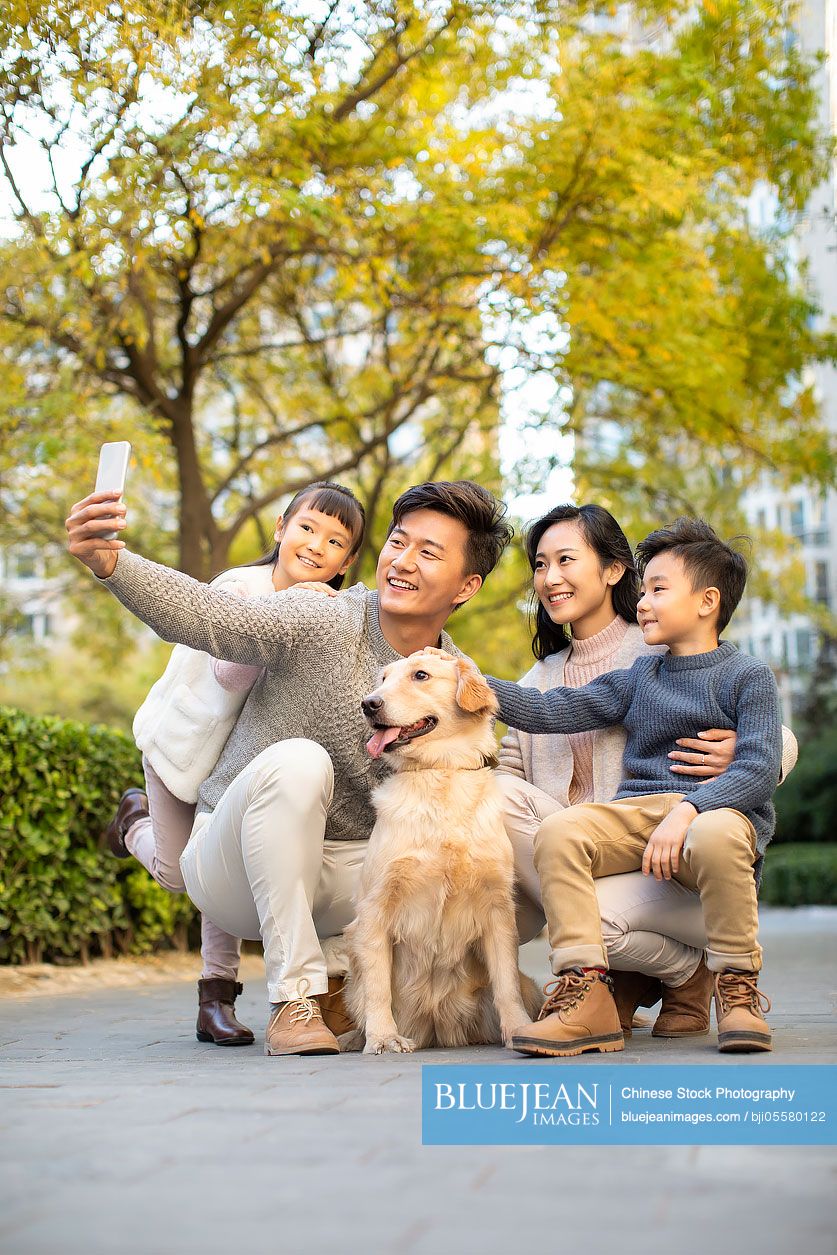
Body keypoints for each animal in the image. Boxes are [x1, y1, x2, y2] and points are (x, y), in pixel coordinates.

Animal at [341, 652, 544, 1054]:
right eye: (383, 678)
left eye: (421, 675)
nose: (368, 704)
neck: (438, 772)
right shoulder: (374, 907)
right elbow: (377, 987)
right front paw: (383, 1037)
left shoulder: (498, 907)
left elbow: (506, 984)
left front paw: (518, 1029)